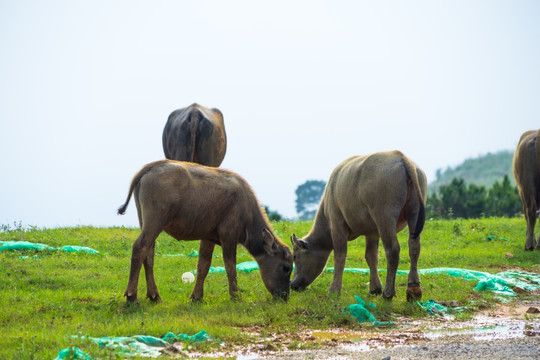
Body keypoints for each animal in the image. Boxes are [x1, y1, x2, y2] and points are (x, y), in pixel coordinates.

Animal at [116, 160, 294, 300]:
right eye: (286, 267)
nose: (285, 295)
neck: (246, 209)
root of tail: (151, 167)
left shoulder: (208, 238)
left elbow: (203, 265)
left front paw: (197, 296)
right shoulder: (229, 236)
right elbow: (230, 266)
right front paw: (236, 295)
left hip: (146, 222)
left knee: (149, 254)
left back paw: (154, 296)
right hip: (155, 221)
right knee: (139, 248)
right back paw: (132, 296)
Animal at [292, 151, 426, 300]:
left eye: (295, 257)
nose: (292, 285)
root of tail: (401, 158)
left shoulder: (337, 223)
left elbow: (340, 255)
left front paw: (334, 290)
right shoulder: (372, 232)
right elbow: (371, 256)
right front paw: (375, 288)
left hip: (385, 216)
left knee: (392, 250)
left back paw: (388, 293)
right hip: (414, 212)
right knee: (414, 246)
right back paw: (413, 288)